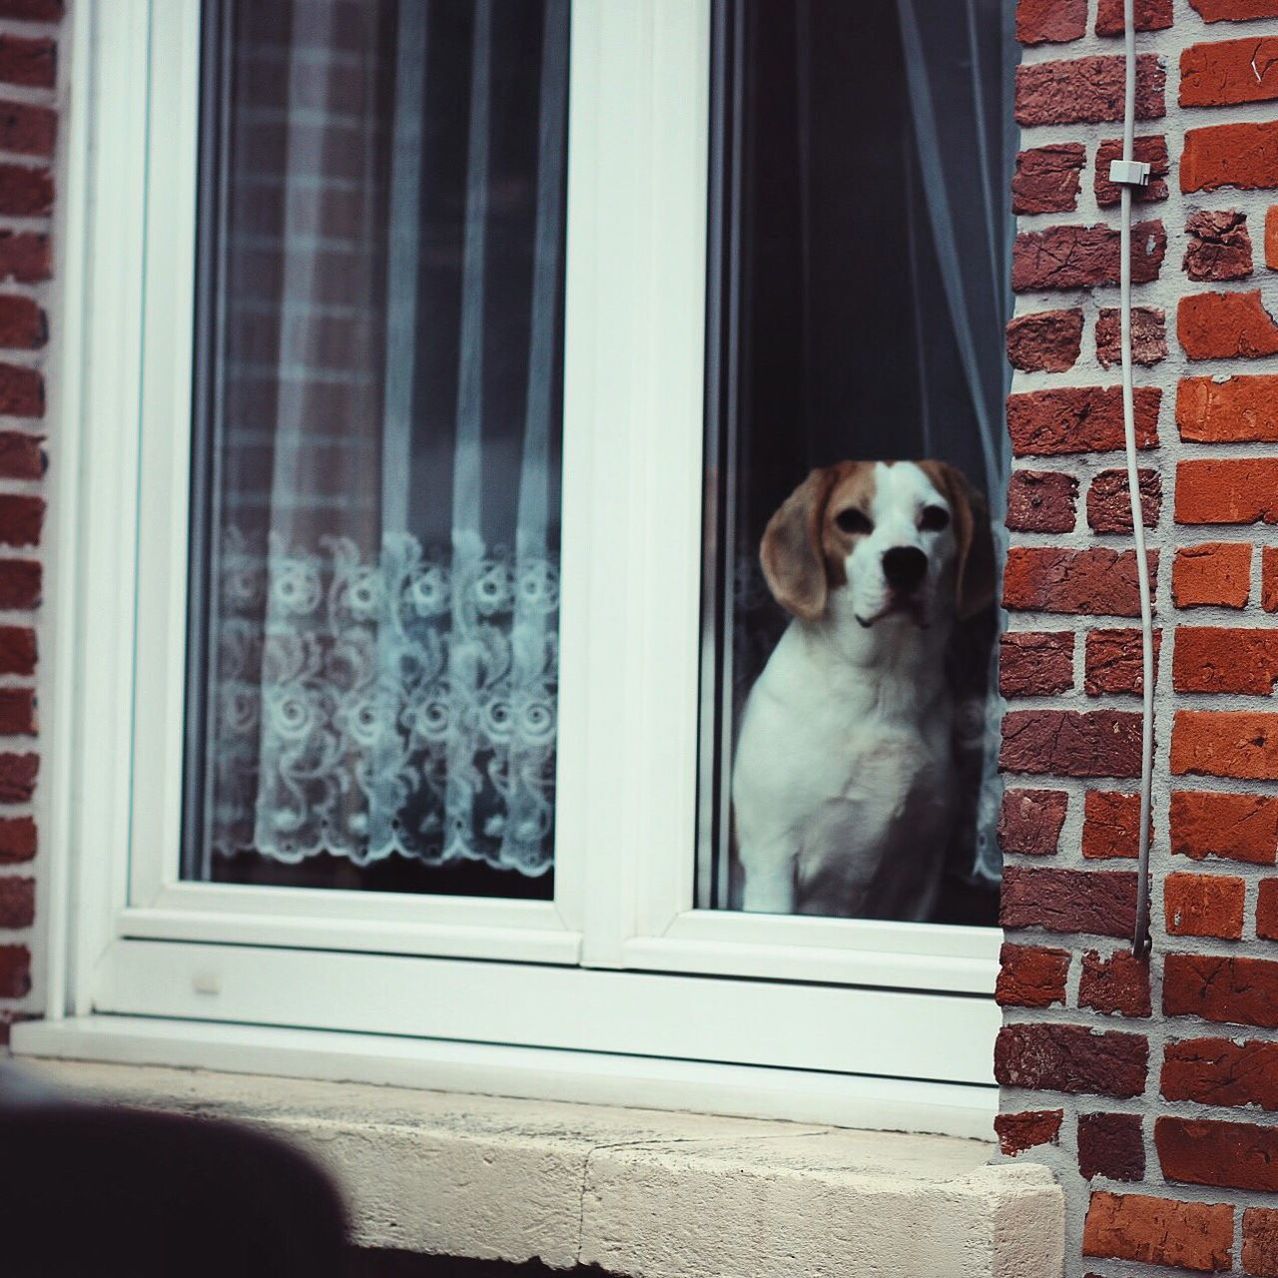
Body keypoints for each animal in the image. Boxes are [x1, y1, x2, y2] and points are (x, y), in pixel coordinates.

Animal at [736, 460, 991, 920]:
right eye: (850, 520)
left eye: (935, 517)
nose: (905, 561)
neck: (882, 684)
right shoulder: (771, 861)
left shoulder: (921, 875)